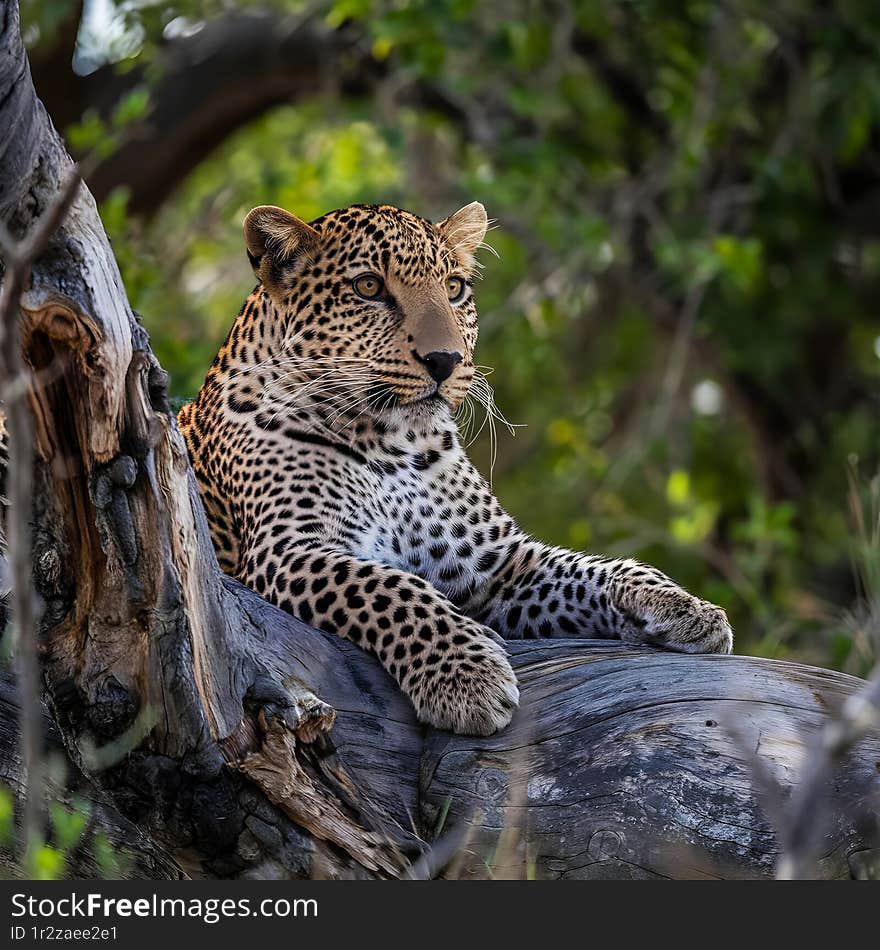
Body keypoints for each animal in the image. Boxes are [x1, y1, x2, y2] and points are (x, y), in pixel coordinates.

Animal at [175, 201, 732, 736]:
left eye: (454, 287)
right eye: (368, 287)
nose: (445, 360)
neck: (391, 445)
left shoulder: (497, 563)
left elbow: (597, 567)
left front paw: (687, 608)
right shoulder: (288, 550)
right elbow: (390, 588)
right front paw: (466, 679)